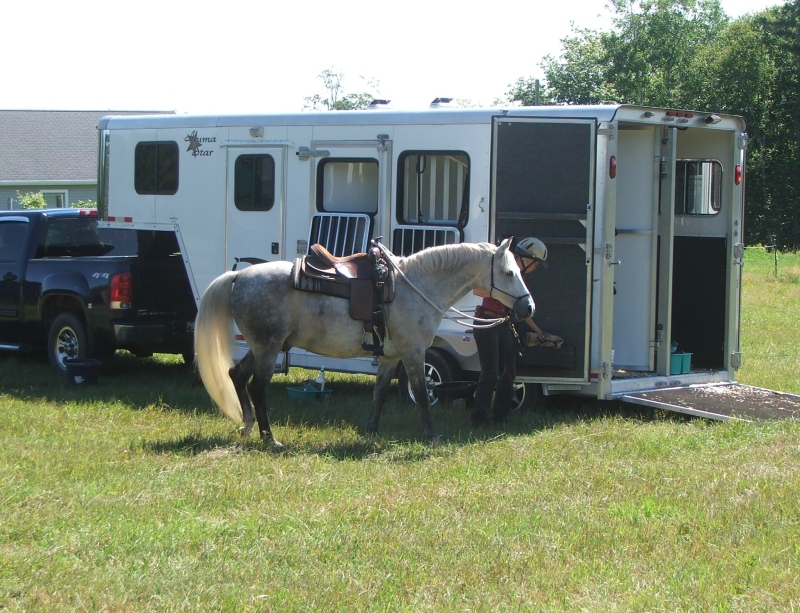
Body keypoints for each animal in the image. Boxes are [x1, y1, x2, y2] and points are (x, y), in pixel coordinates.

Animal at [192, 238, 532, 444]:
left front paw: (371, 432)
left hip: (262, 346)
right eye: (509, 272)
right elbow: (423, 394)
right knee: (257, 387)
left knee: (236, 375)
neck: (417, 286)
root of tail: (239, 277)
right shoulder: (413, 352)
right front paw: (431, 436)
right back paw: (269, 438)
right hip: (268, 347)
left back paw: (248, 425)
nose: (528, 308)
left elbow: (379, 394)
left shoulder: (391, 356)